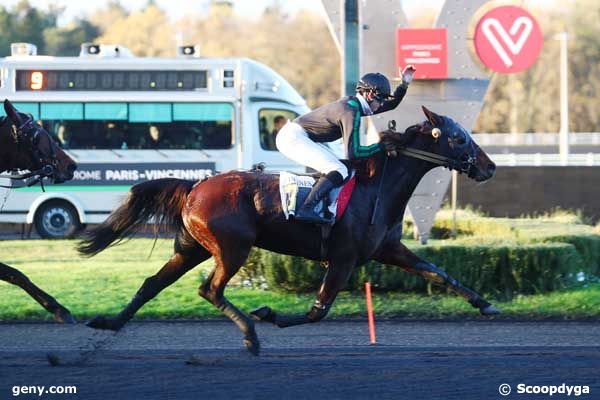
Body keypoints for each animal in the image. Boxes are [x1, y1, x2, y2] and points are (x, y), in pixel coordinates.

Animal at [79, 106, 500, 354]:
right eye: (459, 137)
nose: (490, 166)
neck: (374, 188)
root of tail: (196, 185)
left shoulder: (388, 250)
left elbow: (439, 272)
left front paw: (486, 304)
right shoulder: (344, 258)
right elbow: (318, 311)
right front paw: (269, 314)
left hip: (191, 248)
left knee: (153, 283)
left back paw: (109, 322)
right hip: (232, 248)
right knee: (209, 289)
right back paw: (250, 334)